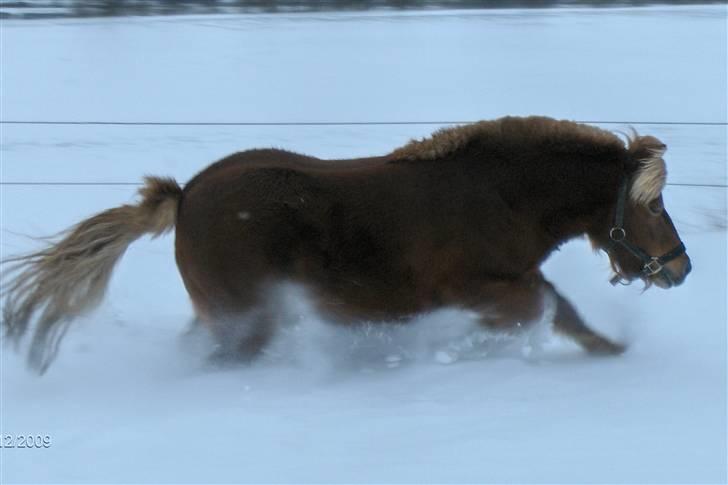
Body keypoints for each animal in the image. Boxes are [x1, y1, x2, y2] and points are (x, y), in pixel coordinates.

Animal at [0, 115, 692, 372]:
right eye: (655, 205)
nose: (681, 268)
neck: (499, 194)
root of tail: (185, 195)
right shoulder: (476, 286)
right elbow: (541, 309)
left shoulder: (506, 280)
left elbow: (561, 309)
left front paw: (609, 349)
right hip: (246, 318)